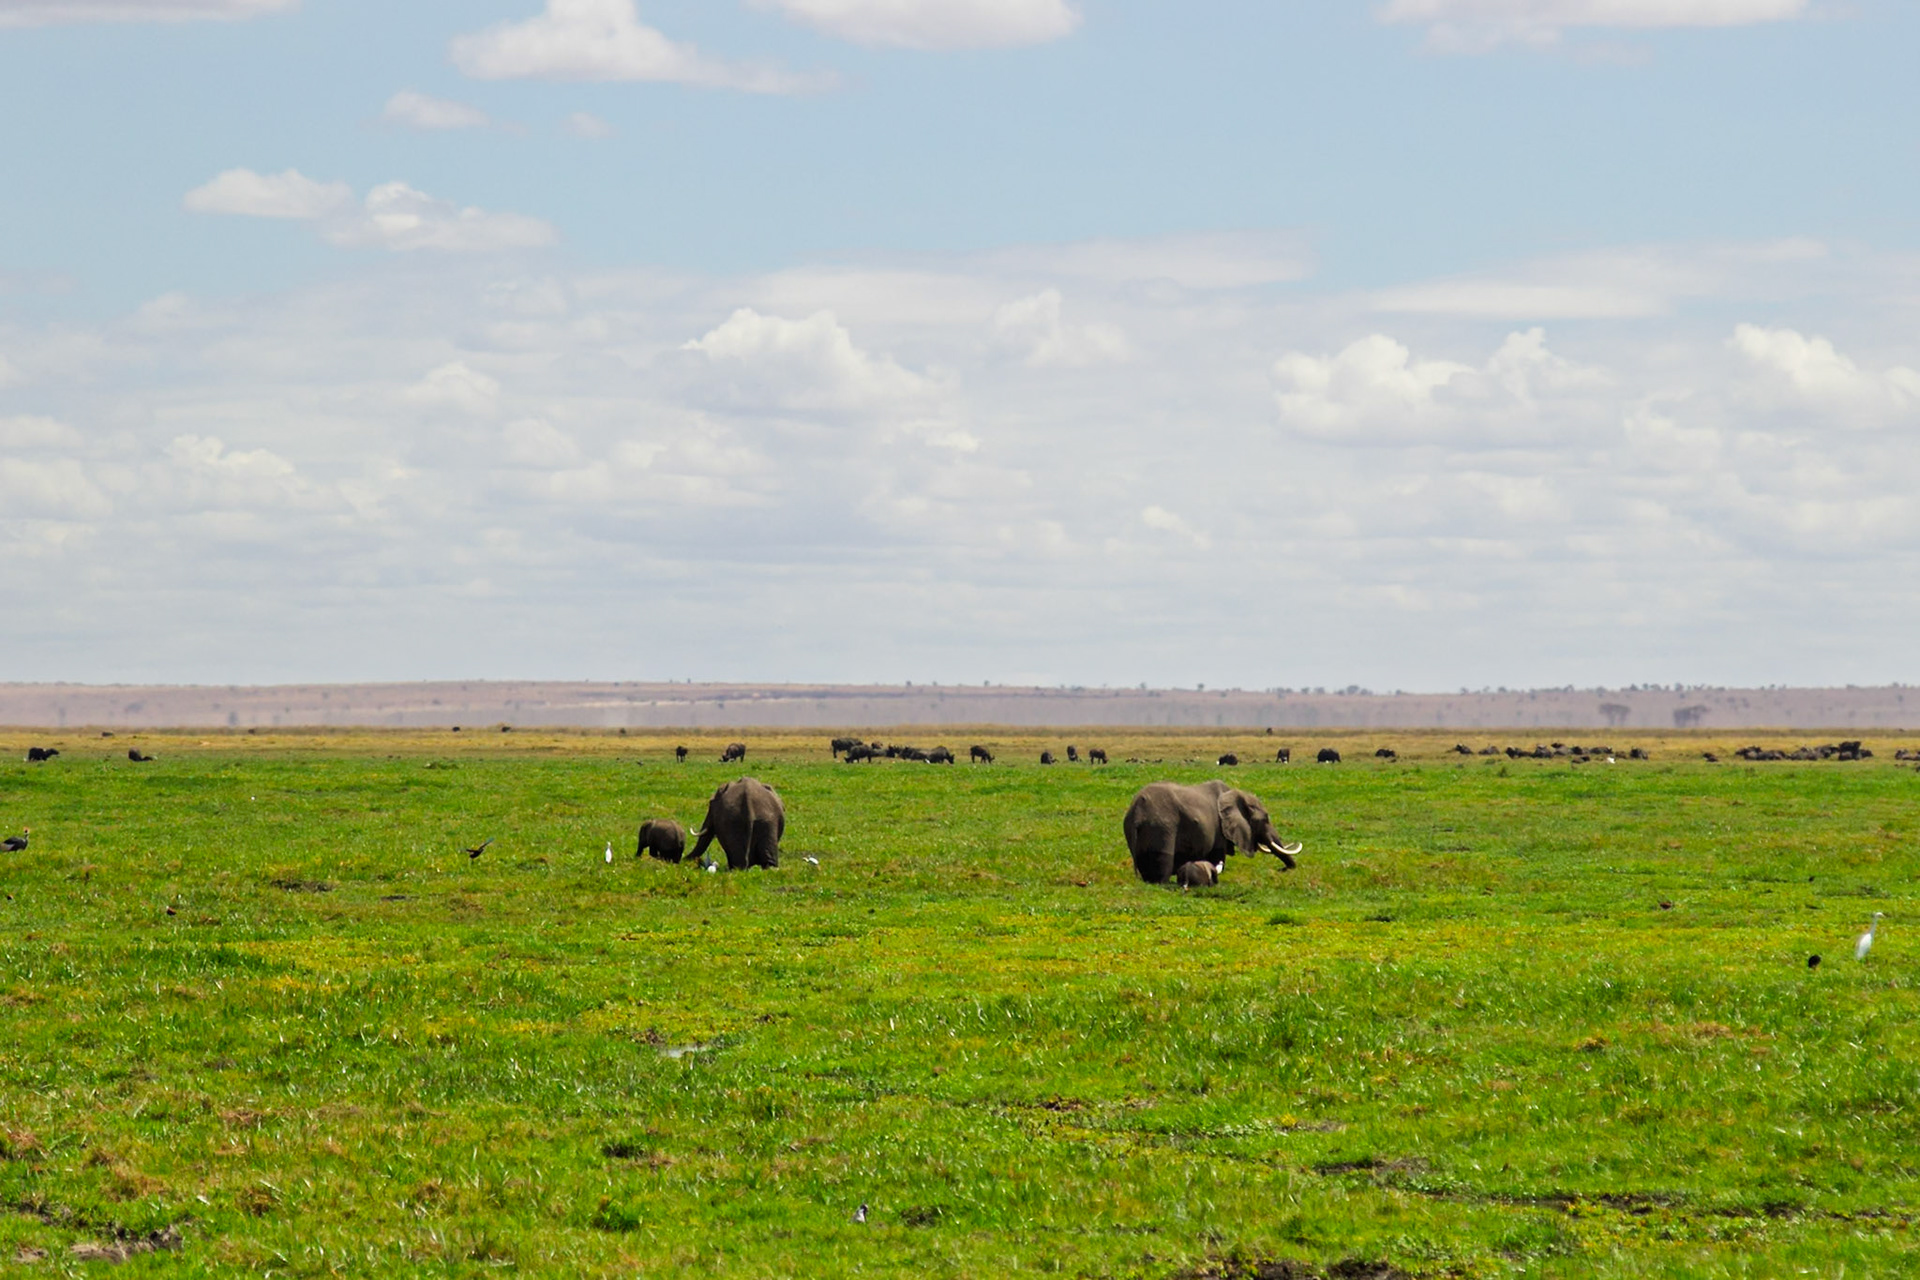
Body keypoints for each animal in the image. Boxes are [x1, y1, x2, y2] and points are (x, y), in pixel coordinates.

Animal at [1123, 780, 1301, 884]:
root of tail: (1137, 812)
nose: (1281, 870)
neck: (1235, 794)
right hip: (1162, 827)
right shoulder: (1219, 830)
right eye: (1265, 819)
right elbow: (1216, 857)